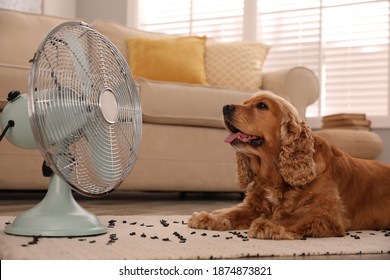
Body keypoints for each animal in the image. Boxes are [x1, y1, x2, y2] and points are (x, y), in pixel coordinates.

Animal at [187, 93, 390, 240]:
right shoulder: (253, 206)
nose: (225, 107)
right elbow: (234, 212)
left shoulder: (325, 213)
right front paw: (210, 217)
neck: (273, 175)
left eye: (262, 106)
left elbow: (295, 218)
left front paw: (267, 224)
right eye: (245, 102)